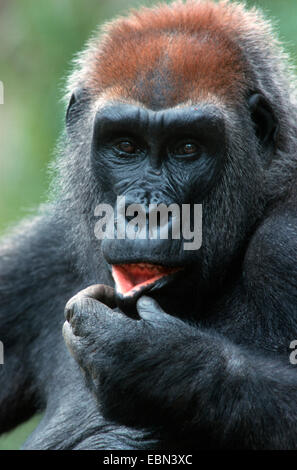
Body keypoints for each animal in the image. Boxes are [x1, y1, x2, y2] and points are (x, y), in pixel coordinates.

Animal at [0, 0, 296, 450]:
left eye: (188, 148)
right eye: (126, 146)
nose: (145, 212)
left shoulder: (285, 243)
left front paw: (155, 360)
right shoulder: (43, 250)